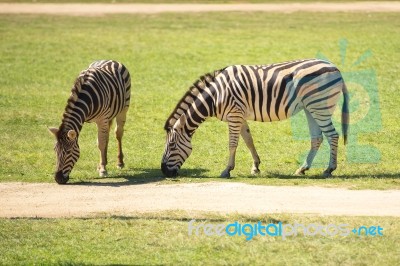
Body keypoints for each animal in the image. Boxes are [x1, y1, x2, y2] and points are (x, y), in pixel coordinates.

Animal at [161, 58, 348, 179]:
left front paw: (227, 170)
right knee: (317, 138)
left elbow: (233, 144)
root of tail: (335, 67)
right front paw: (256, 167)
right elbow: (249, 140)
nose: (164, 171)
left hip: (320, 106)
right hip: (311, 108)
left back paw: (329, 169)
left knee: (332, 135)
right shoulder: (240, 115)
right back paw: (302, 169)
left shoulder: (234, 115)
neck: (215, 96)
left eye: (172, 145)